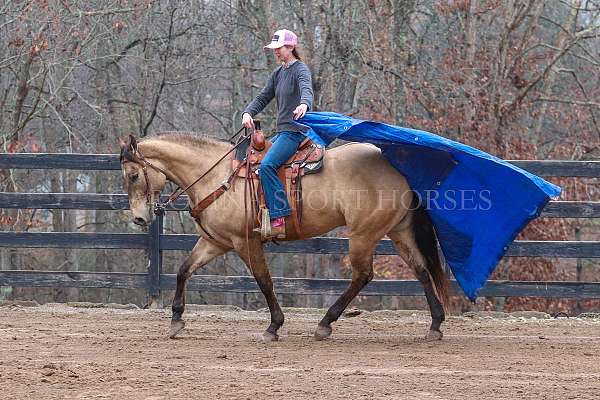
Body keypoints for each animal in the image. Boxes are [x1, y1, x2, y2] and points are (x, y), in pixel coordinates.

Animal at [119, 130, 450, 340]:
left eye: (133, 175)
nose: (139, 217)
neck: (218, 176)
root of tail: (397, 167)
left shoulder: (245, 242)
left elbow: (264, 281)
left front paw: (273, 326)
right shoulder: (215, 241)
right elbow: (184, 270)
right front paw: (176, 321)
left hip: (363, 234)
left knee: (363, 275)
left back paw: (325, 323)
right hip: (398, 231)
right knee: (421, 270)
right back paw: (435, 324)